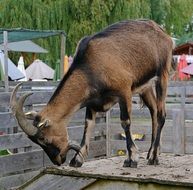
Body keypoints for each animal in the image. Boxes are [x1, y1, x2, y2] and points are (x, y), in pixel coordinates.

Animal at [10, 19, 173, 168]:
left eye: (44, 139)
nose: (58, 160)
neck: (90, 67)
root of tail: (164, 33)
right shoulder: (92, 100)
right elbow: (88, 124)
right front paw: (77, 159)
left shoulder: (124, 90)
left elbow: (125, 122)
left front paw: (131, 158)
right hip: (146, 87)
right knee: (153, 111)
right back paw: (152, 152)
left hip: (162, 74)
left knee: (161, 114)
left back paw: (153, 157)